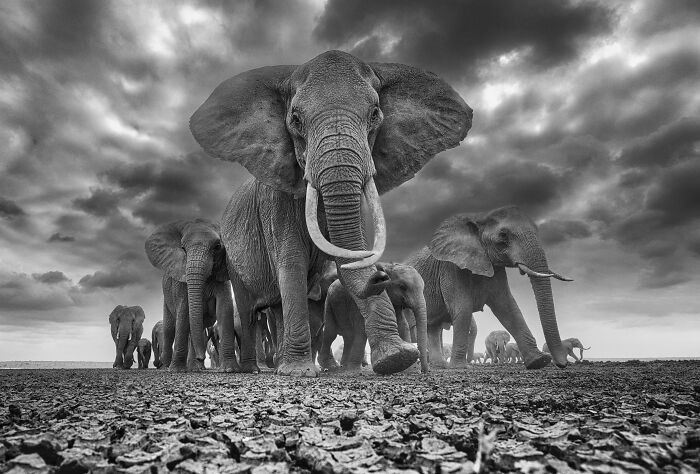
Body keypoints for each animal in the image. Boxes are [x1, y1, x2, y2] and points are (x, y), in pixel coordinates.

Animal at [145, 218, 238, 372]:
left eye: (217, 246)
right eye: (182, 248)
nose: (202, 357)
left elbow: (224, 309)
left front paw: (229, 370)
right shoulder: (182, 278)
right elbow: (184, 311)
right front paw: (176, 370)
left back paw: (195, 368)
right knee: (170, 329)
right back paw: (167, 367)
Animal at [189, 50, 472, 377]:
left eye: (375, 113)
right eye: (295, 119)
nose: (382, 274)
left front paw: (396, 359)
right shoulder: (276, 201)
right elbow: (292, 262)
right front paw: (298, 372)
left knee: (277, 307)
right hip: (234, 260)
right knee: (248, 309)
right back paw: (251, 369)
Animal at [406, 206, 572, 370]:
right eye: (503, 235)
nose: (561, 364)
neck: (478, 218)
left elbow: (507, 307)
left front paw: (539, 361)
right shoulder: (450, 268)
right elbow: (463, 308)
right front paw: (459, 368)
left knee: (433, 328)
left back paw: (439, 365)